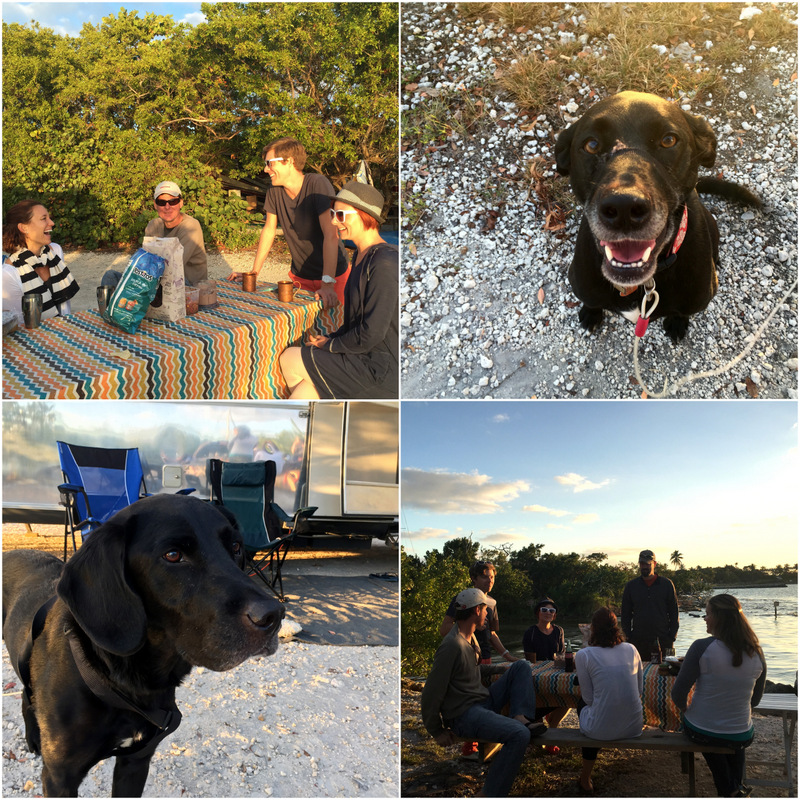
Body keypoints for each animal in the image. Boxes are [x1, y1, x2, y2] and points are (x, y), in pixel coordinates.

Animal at [2, 496, 284, 796]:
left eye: (236, 547)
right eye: (172, 555)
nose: (274, 615)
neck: (127, 682)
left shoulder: (137, 761)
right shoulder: (59, 778)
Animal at [552, 90, 760, 340]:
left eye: (668, 140)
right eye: (591, 144)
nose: (624, 208)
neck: (643, 284)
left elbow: (682, 312)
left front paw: (678, 322)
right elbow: (591, 302)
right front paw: (590, 313)